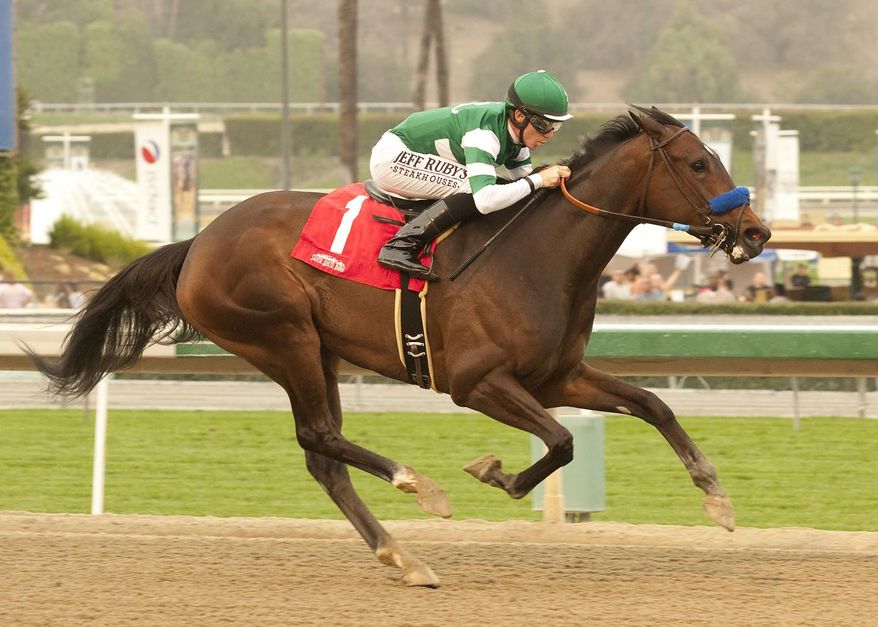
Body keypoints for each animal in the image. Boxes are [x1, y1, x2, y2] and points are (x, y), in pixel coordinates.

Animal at [27, 106, 771, 588]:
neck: (539, 255)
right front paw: (492, 473)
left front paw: (717, 498)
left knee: (322, 457)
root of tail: (197, 242)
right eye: (699, 162)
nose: (756, 231)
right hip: (284, 336)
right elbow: (561, 441)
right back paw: (421, 487)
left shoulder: (556, 375)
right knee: (321, 436)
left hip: (316, 350)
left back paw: (402, 557)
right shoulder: (476, 382)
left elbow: (652, 405)